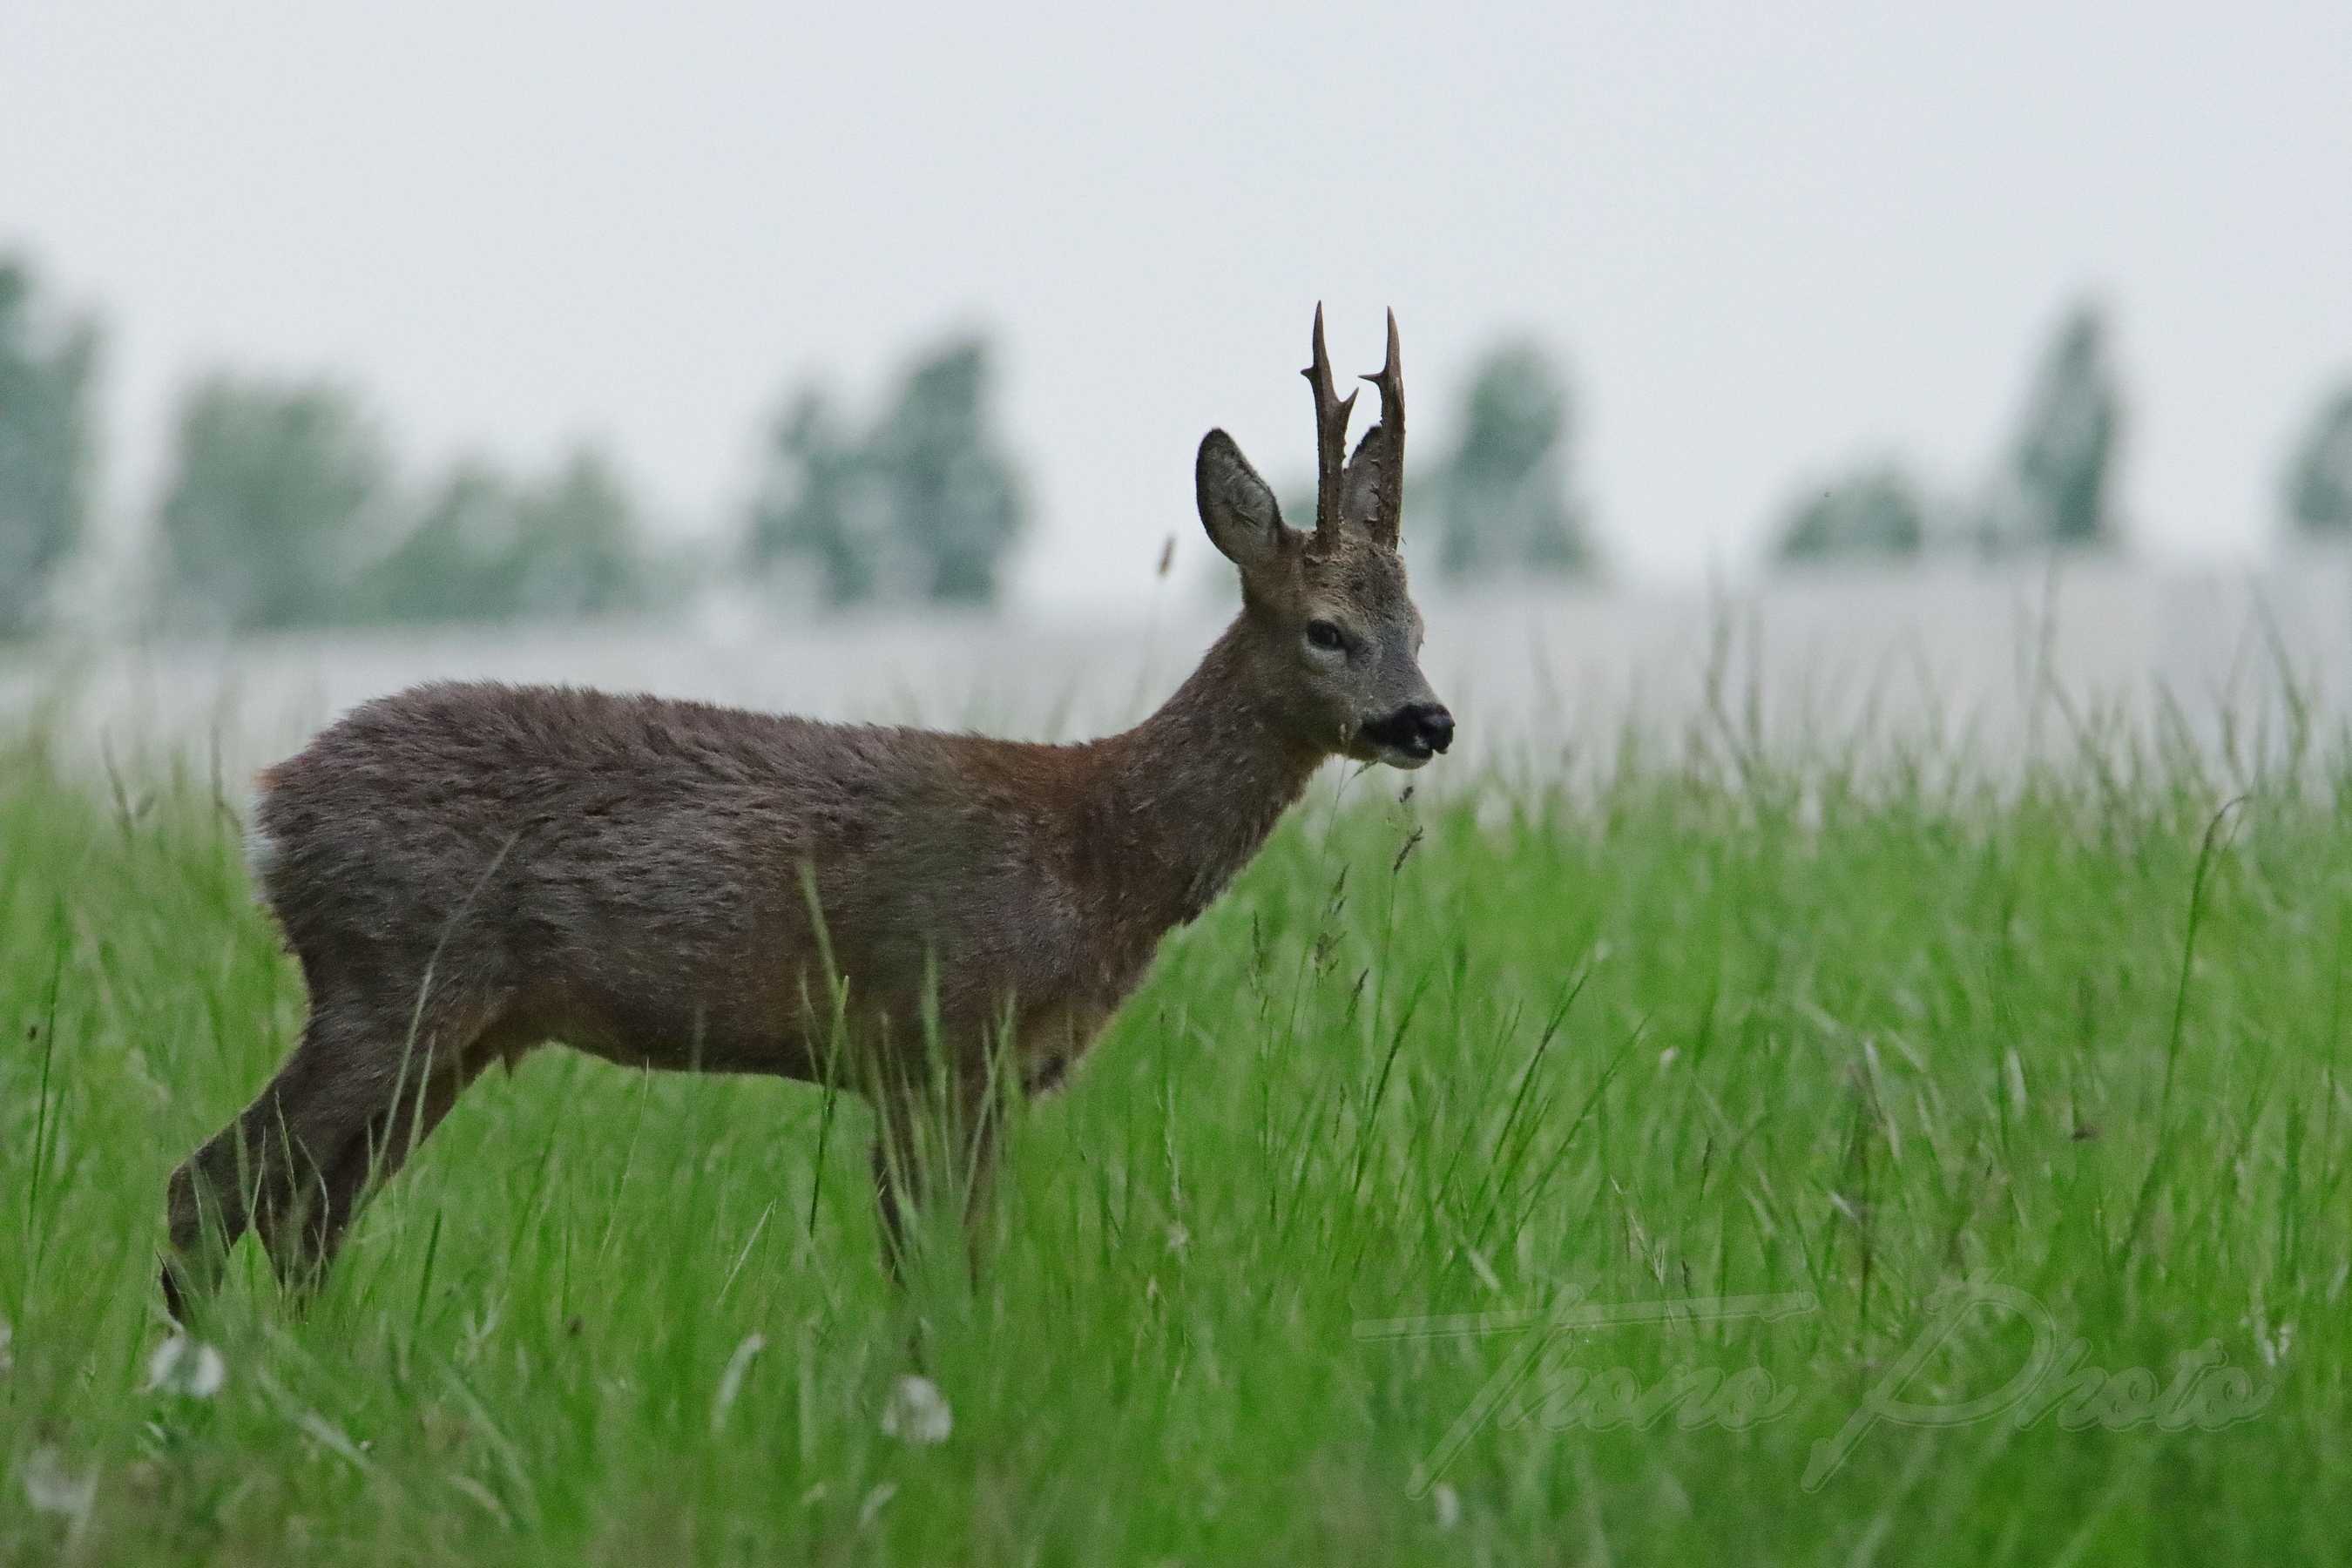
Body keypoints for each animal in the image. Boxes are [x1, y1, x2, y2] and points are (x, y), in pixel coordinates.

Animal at [160, 305, 1449, 1316]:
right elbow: (931, 1270)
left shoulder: (975, 1072)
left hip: (452, 1026)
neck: (1100, 854)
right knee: (211, 1189)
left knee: (305, 1213)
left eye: (1419, 626)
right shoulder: (939, 1032)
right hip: (390, 981)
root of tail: (272, 812)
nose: (1427, 721)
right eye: (1325, 630)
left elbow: (952, 1265)